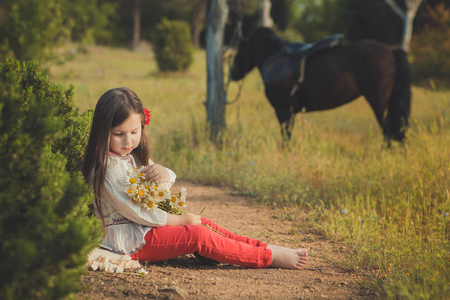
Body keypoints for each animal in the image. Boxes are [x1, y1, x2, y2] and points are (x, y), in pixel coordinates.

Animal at [230, 27, 410, 144]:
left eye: (239, 49)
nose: (232, 73)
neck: (272, 56)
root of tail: (391, 51)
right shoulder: (289, 112)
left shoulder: (283, 111)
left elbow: (286, 138)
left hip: (378, 103)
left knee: (388, 131)